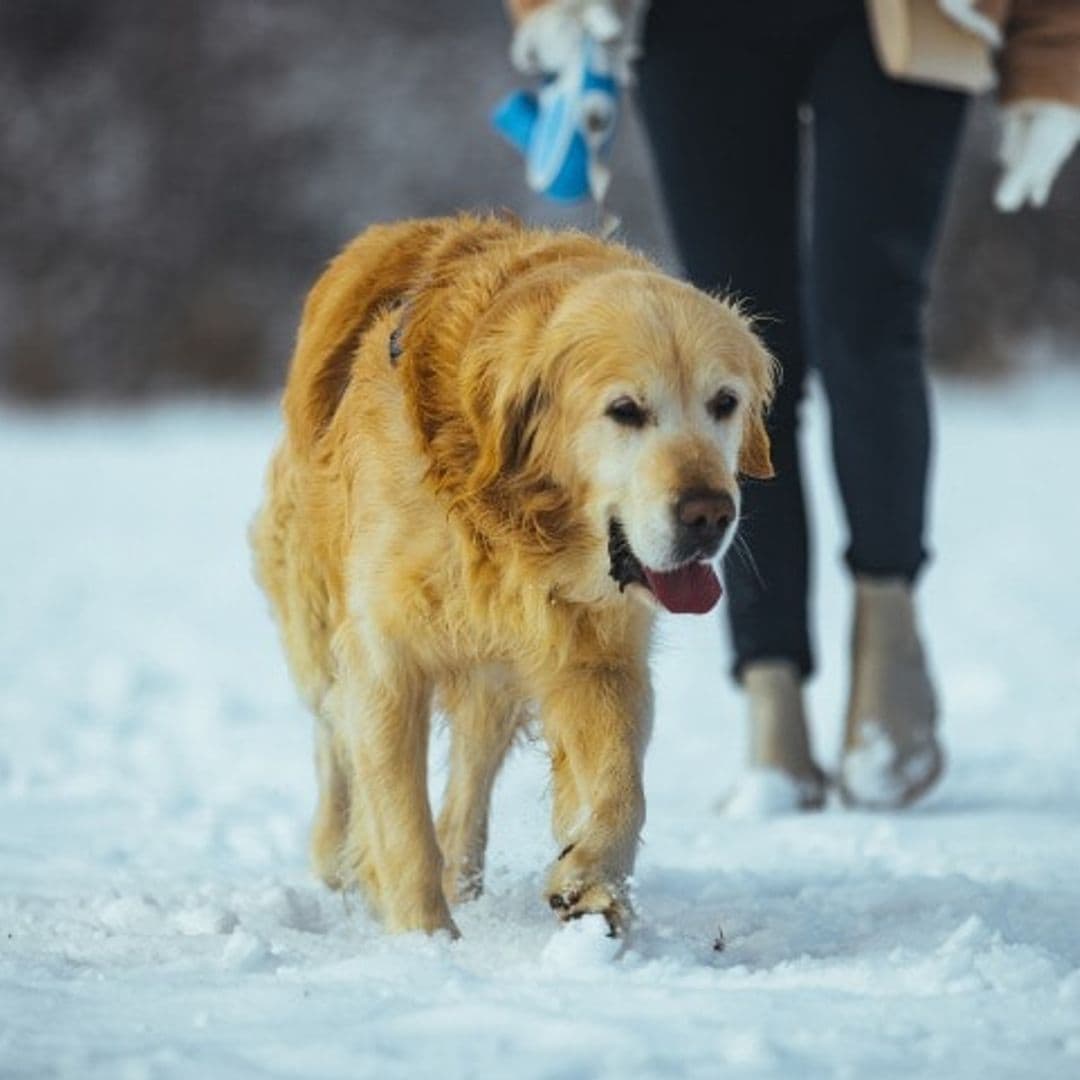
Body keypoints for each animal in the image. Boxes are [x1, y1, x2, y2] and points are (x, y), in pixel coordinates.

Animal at [250, 212, 777, 937]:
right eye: (625, 410)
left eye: (724, 402)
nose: (709, 515)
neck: (510, 525)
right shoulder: (384, 658)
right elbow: (400, 821)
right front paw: (426, 941)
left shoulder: (596, 654)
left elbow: (621, 789)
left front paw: (589, 883)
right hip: (315, 615)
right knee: (333, 739)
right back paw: (336, 864)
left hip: (491, 680)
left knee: (468, 785)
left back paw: (466, 879)